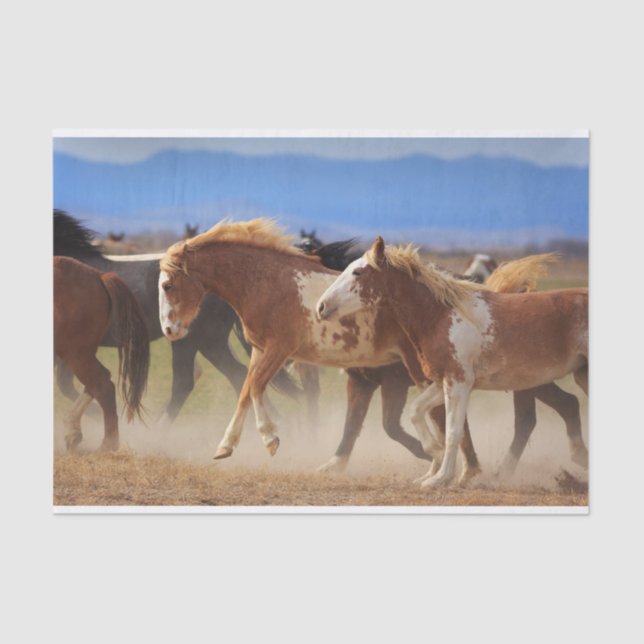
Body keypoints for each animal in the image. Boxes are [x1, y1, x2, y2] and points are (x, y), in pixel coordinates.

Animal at [53, 210, 300, 425]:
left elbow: (73, 384)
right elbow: (68, 384)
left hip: (195, 340)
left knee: (187, 382)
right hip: (209, 342)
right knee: (239, 375)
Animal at [316, 237, 588, 488]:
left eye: (358, 272)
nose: (321, 306)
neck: (440, 316)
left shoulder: (458, 383)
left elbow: (452, 431)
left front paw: (441, 477)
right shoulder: (441, 381)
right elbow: (417, 412)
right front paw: (435, 459)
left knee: (534, 418)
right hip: (571, 377)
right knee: (562, 408)